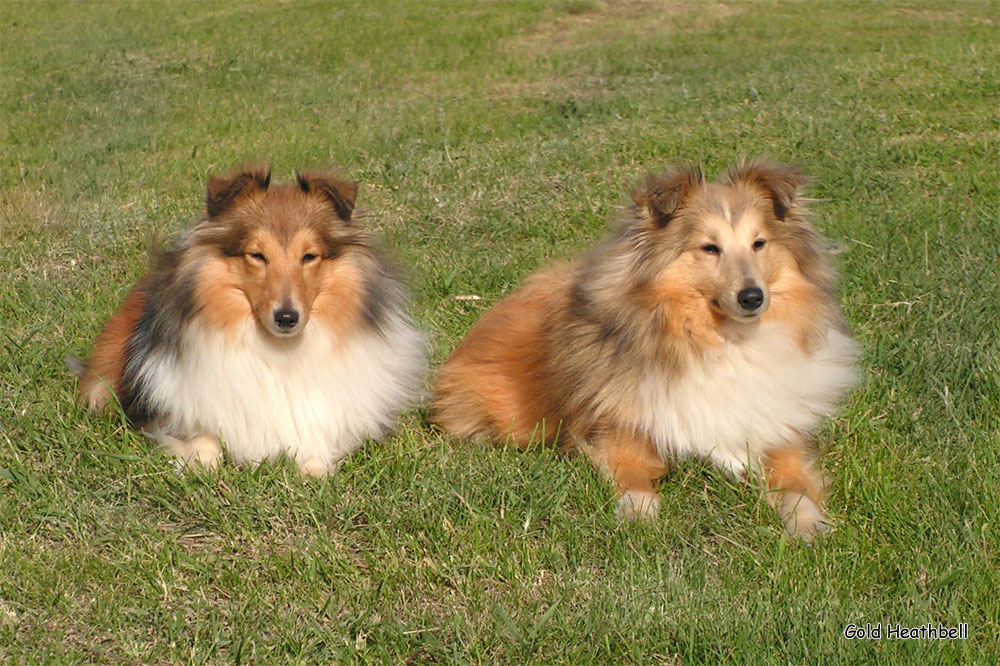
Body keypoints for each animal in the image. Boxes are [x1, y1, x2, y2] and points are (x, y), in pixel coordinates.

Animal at [77, 166, 422, 478]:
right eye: (257, 255)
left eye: (309, 256)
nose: (287, 318)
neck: (279, 350)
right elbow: (204, 438)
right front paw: (200, 464)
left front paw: (313, 467)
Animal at [436, 158, 860, 536]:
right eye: (710, 248)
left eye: (759, 243)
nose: (752, 298)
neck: (720, 339)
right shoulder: (618, 431)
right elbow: (634, 478)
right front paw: (639, 516)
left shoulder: (776, 432)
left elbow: (795, 486)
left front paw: (809, 524)